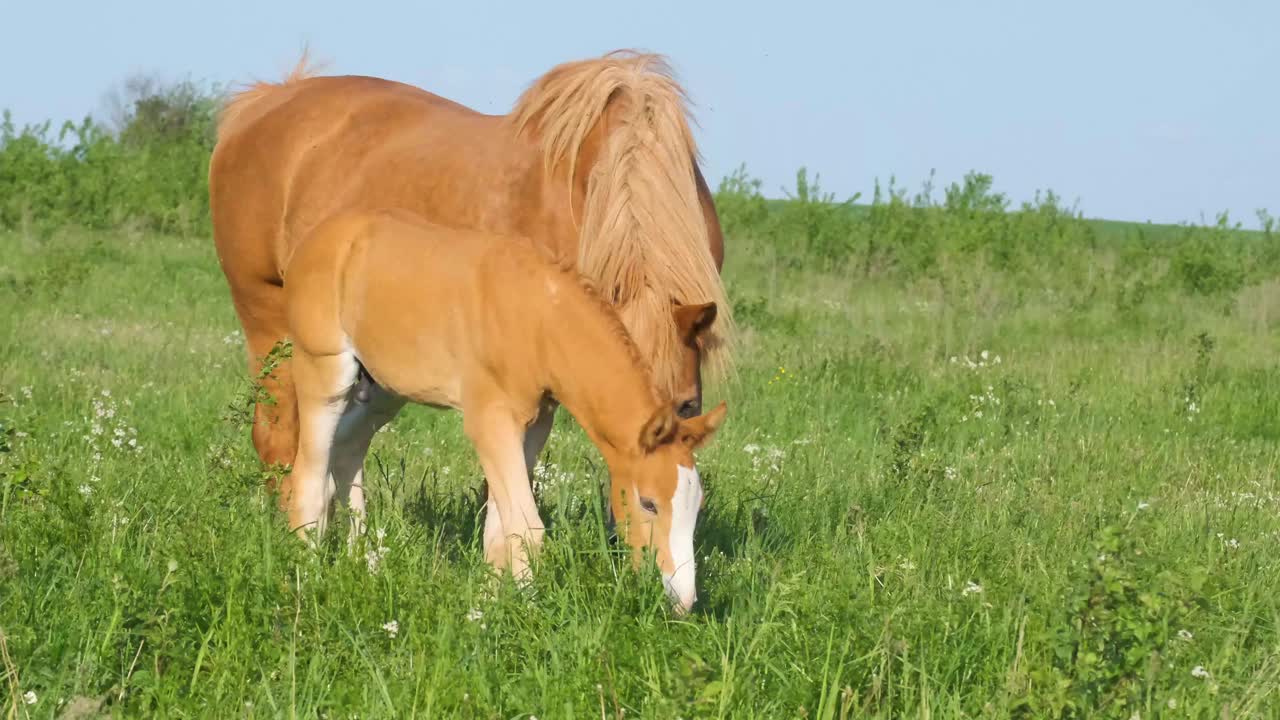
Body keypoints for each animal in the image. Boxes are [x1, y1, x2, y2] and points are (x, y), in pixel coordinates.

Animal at [289, 208, 727, 609]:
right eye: (649, 502)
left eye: (698, 505)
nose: (682, 600)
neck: (538, 319)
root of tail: (320, 236)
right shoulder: (490, 421)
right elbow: (527, 527)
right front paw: (524, 614)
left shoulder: (533, 424)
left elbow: (501, 529)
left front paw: (489, 603)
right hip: (324, 370)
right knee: (309, 472)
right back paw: (307, 575)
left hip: (382, 391)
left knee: (347, 448)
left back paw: (361, 561)